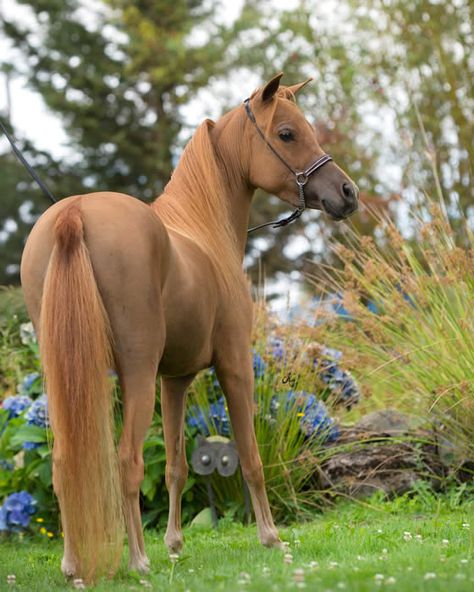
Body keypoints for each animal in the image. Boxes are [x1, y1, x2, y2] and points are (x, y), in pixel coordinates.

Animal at [20, 74, 358, 584]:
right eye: (287, 133)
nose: (347, 192)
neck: (203, 232)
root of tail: (75, 212)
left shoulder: (175, 379)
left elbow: (177, 465)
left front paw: (176, 544)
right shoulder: (234, 365)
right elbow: (250, 457)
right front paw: (271, 537)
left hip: (70, 378)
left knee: (64, 463)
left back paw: (73, 565)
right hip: (135, 372)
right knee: (127, 459)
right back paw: (138, 562)